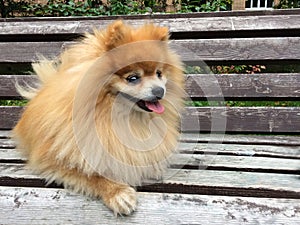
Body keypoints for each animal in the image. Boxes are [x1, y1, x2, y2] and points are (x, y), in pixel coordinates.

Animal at [12, 20, 184, 215]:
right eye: (132, 78)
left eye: (159, 74)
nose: (159, 91)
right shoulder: (52, 158)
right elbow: (91, 175)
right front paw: (117, 193)